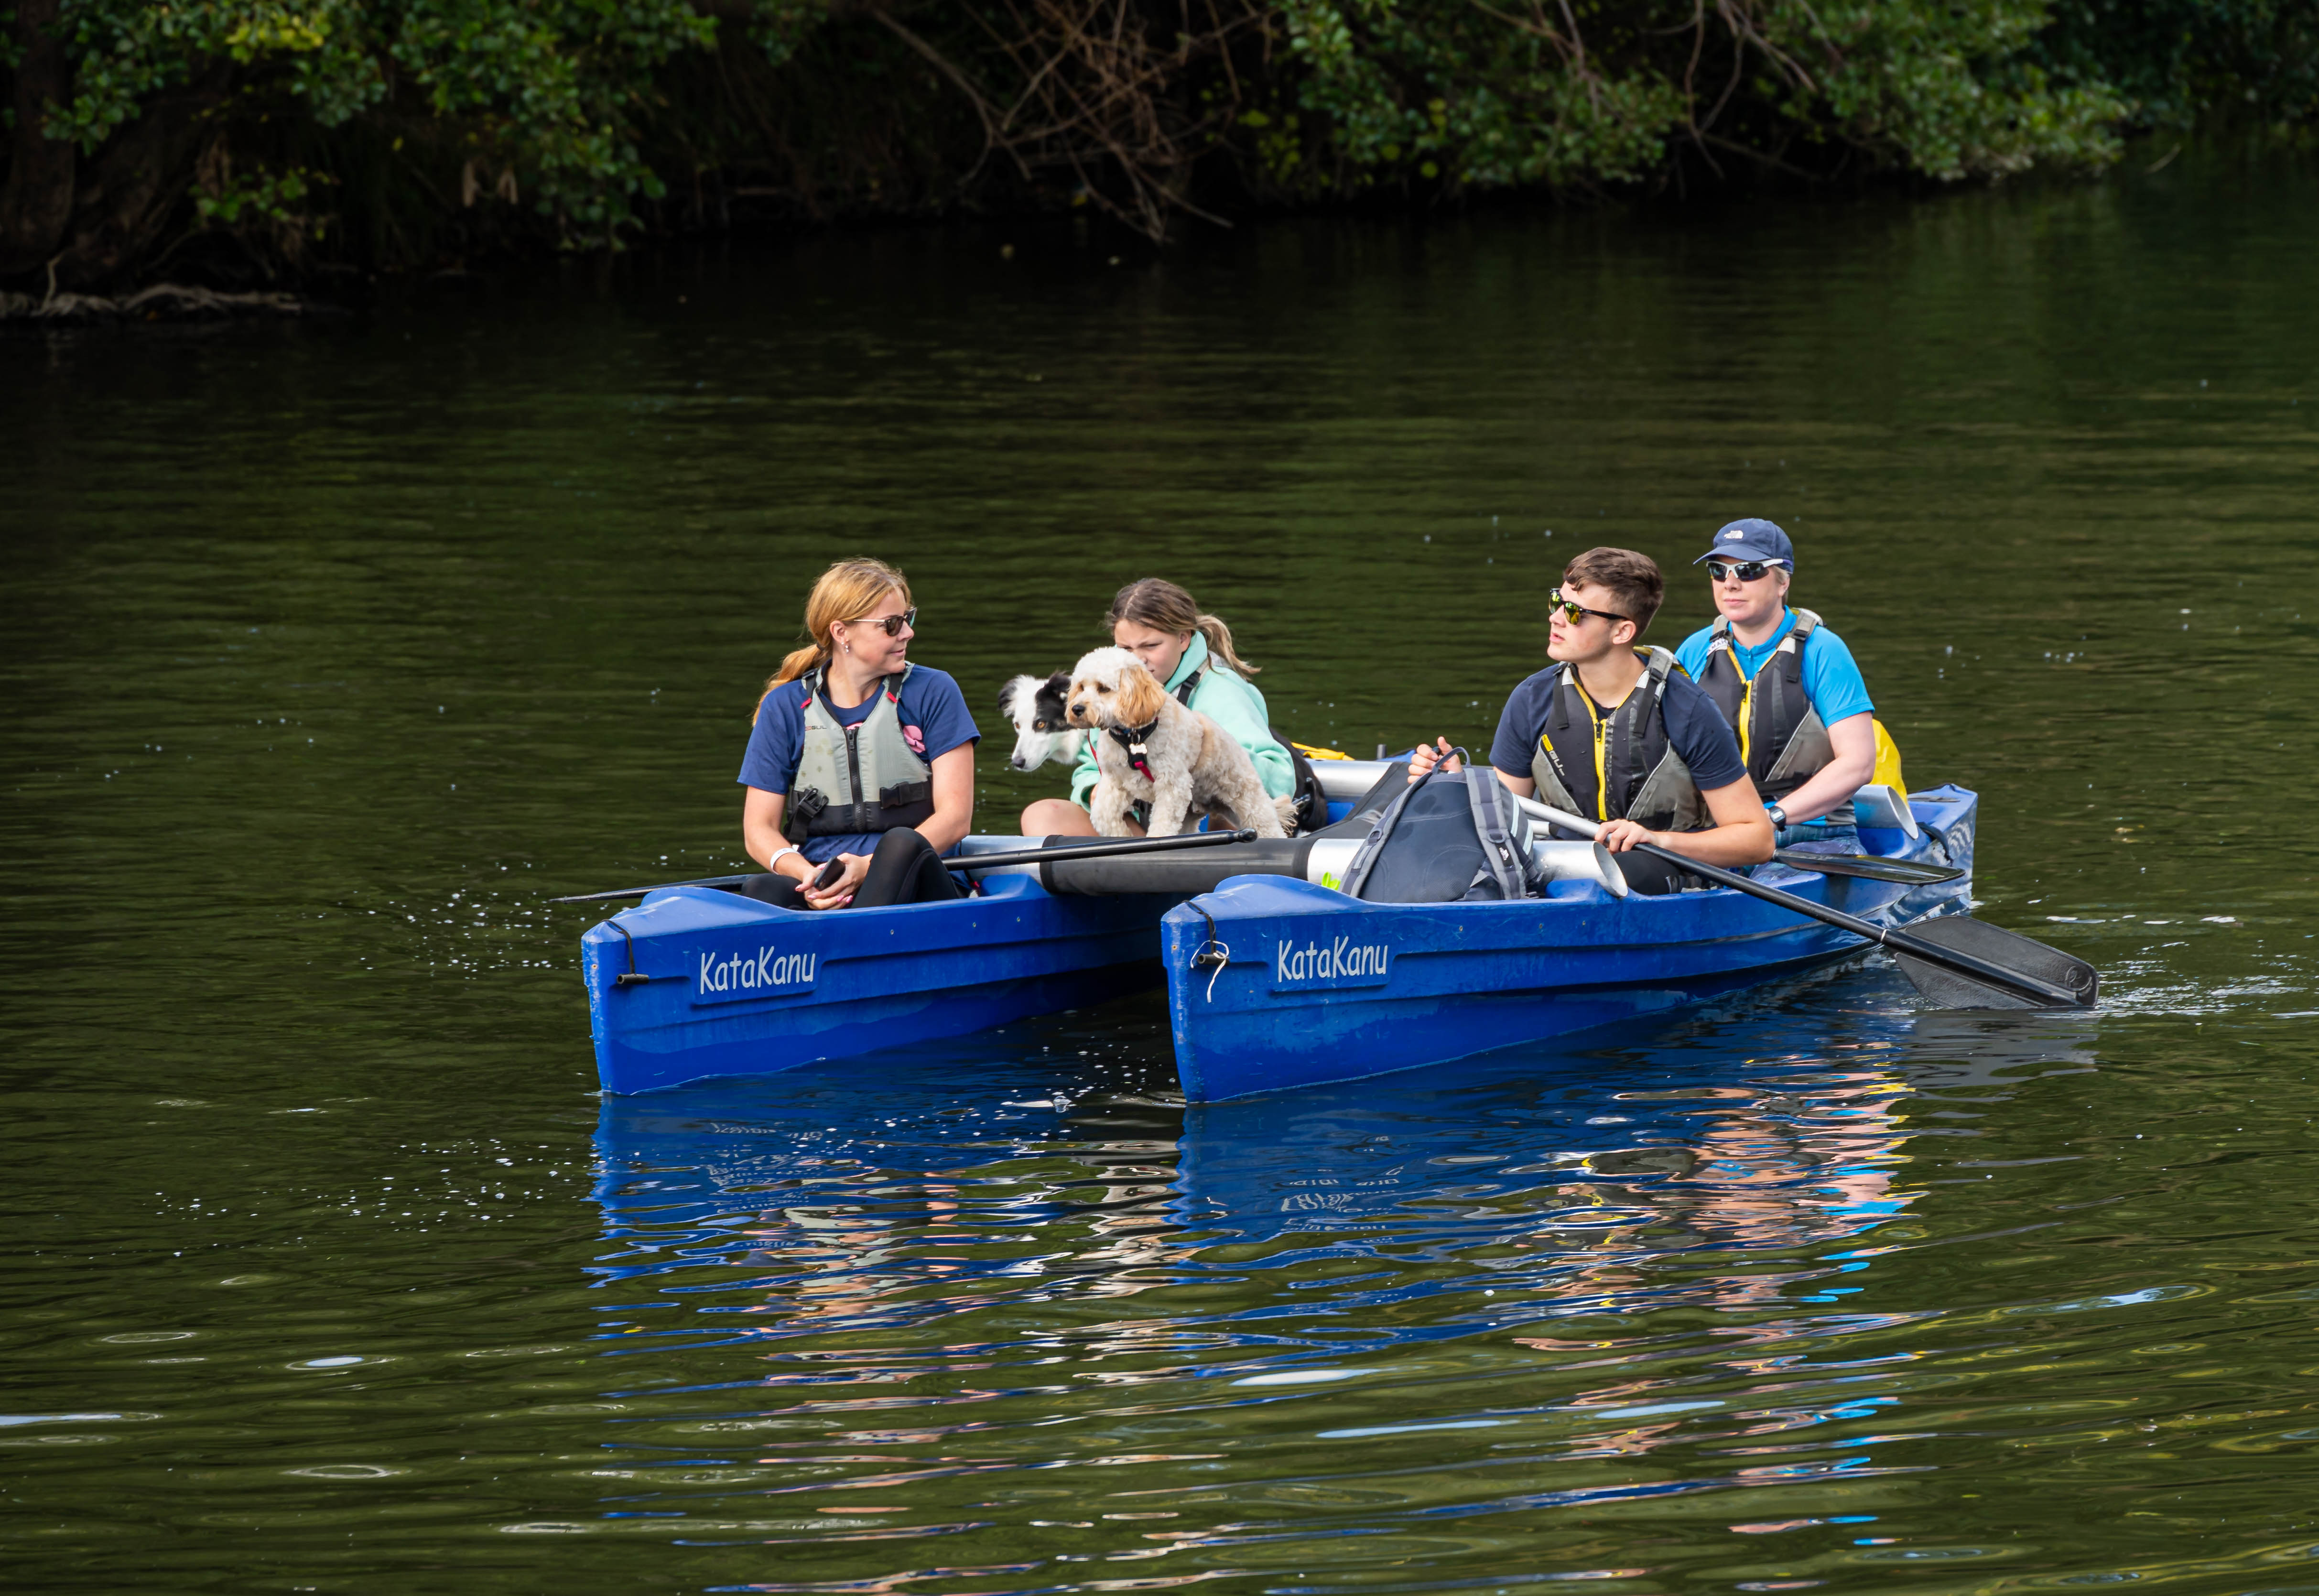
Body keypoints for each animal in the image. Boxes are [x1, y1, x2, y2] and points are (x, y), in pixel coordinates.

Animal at [1062, 645, 1289, 839]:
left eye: (1104, 689)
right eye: (1081, 687)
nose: (1077, 709)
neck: (1133, 738)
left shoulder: (1173, 785)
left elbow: (1162, 827)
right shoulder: (1115, 782)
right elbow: (1102, 816)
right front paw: (1123, 835)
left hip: (1249, 801)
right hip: (1195, 813)